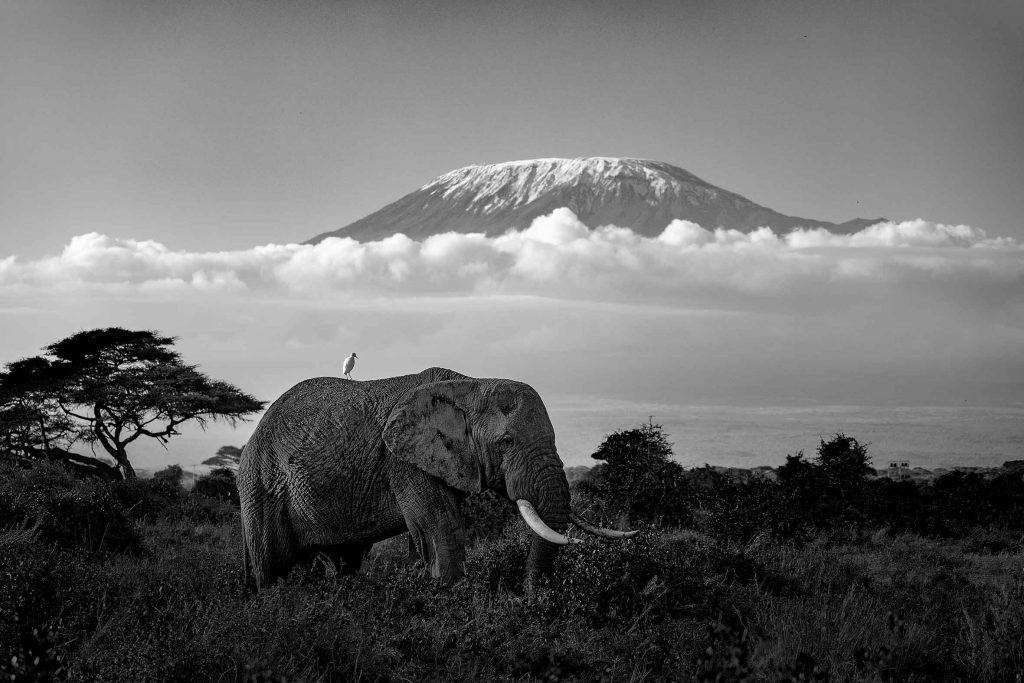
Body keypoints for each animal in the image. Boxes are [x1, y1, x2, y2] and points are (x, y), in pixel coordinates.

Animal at [237, 368, 630, 589]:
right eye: (506, 442)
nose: (530, 600)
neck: (469, 385)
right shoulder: (405, 462)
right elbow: (440, 529)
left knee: (341, 564)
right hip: (261, 485)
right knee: (271, 568)